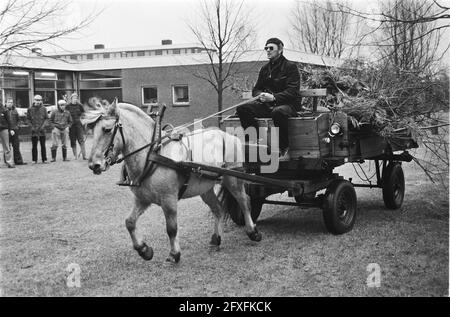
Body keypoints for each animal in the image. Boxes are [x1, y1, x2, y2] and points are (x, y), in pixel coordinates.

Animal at [82, 99, 262, 262]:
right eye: (93, 130)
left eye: (107, 129)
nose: (94, 165)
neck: (152, 155)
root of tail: (229, 135)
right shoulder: (143, 199)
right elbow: (130, 222)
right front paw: (144, 250)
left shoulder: (169, 199)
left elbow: (171, 228)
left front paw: (174, 254)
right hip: (205, 188)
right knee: (218, 209)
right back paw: (215, 240)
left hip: (233, 179)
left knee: (244, 202)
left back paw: (252, 232)